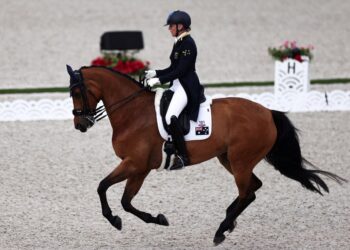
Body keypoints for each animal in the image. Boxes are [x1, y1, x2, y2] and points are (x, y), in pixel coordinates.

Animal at [67, 65, 346, 245]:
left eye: (77, 92)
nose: (81, 125)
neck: (132, 113)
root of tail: (268, 112)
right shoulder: (139, 168)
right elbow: (122, 198)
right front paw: (150, 219)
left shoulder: (136, 164)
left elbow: (106, 189)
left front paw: (121, 219)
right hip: (228, 159)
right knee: (253, 188)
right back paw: (228, 221)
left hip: (240, 160)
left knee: (248, 192)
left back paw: (221, 230)